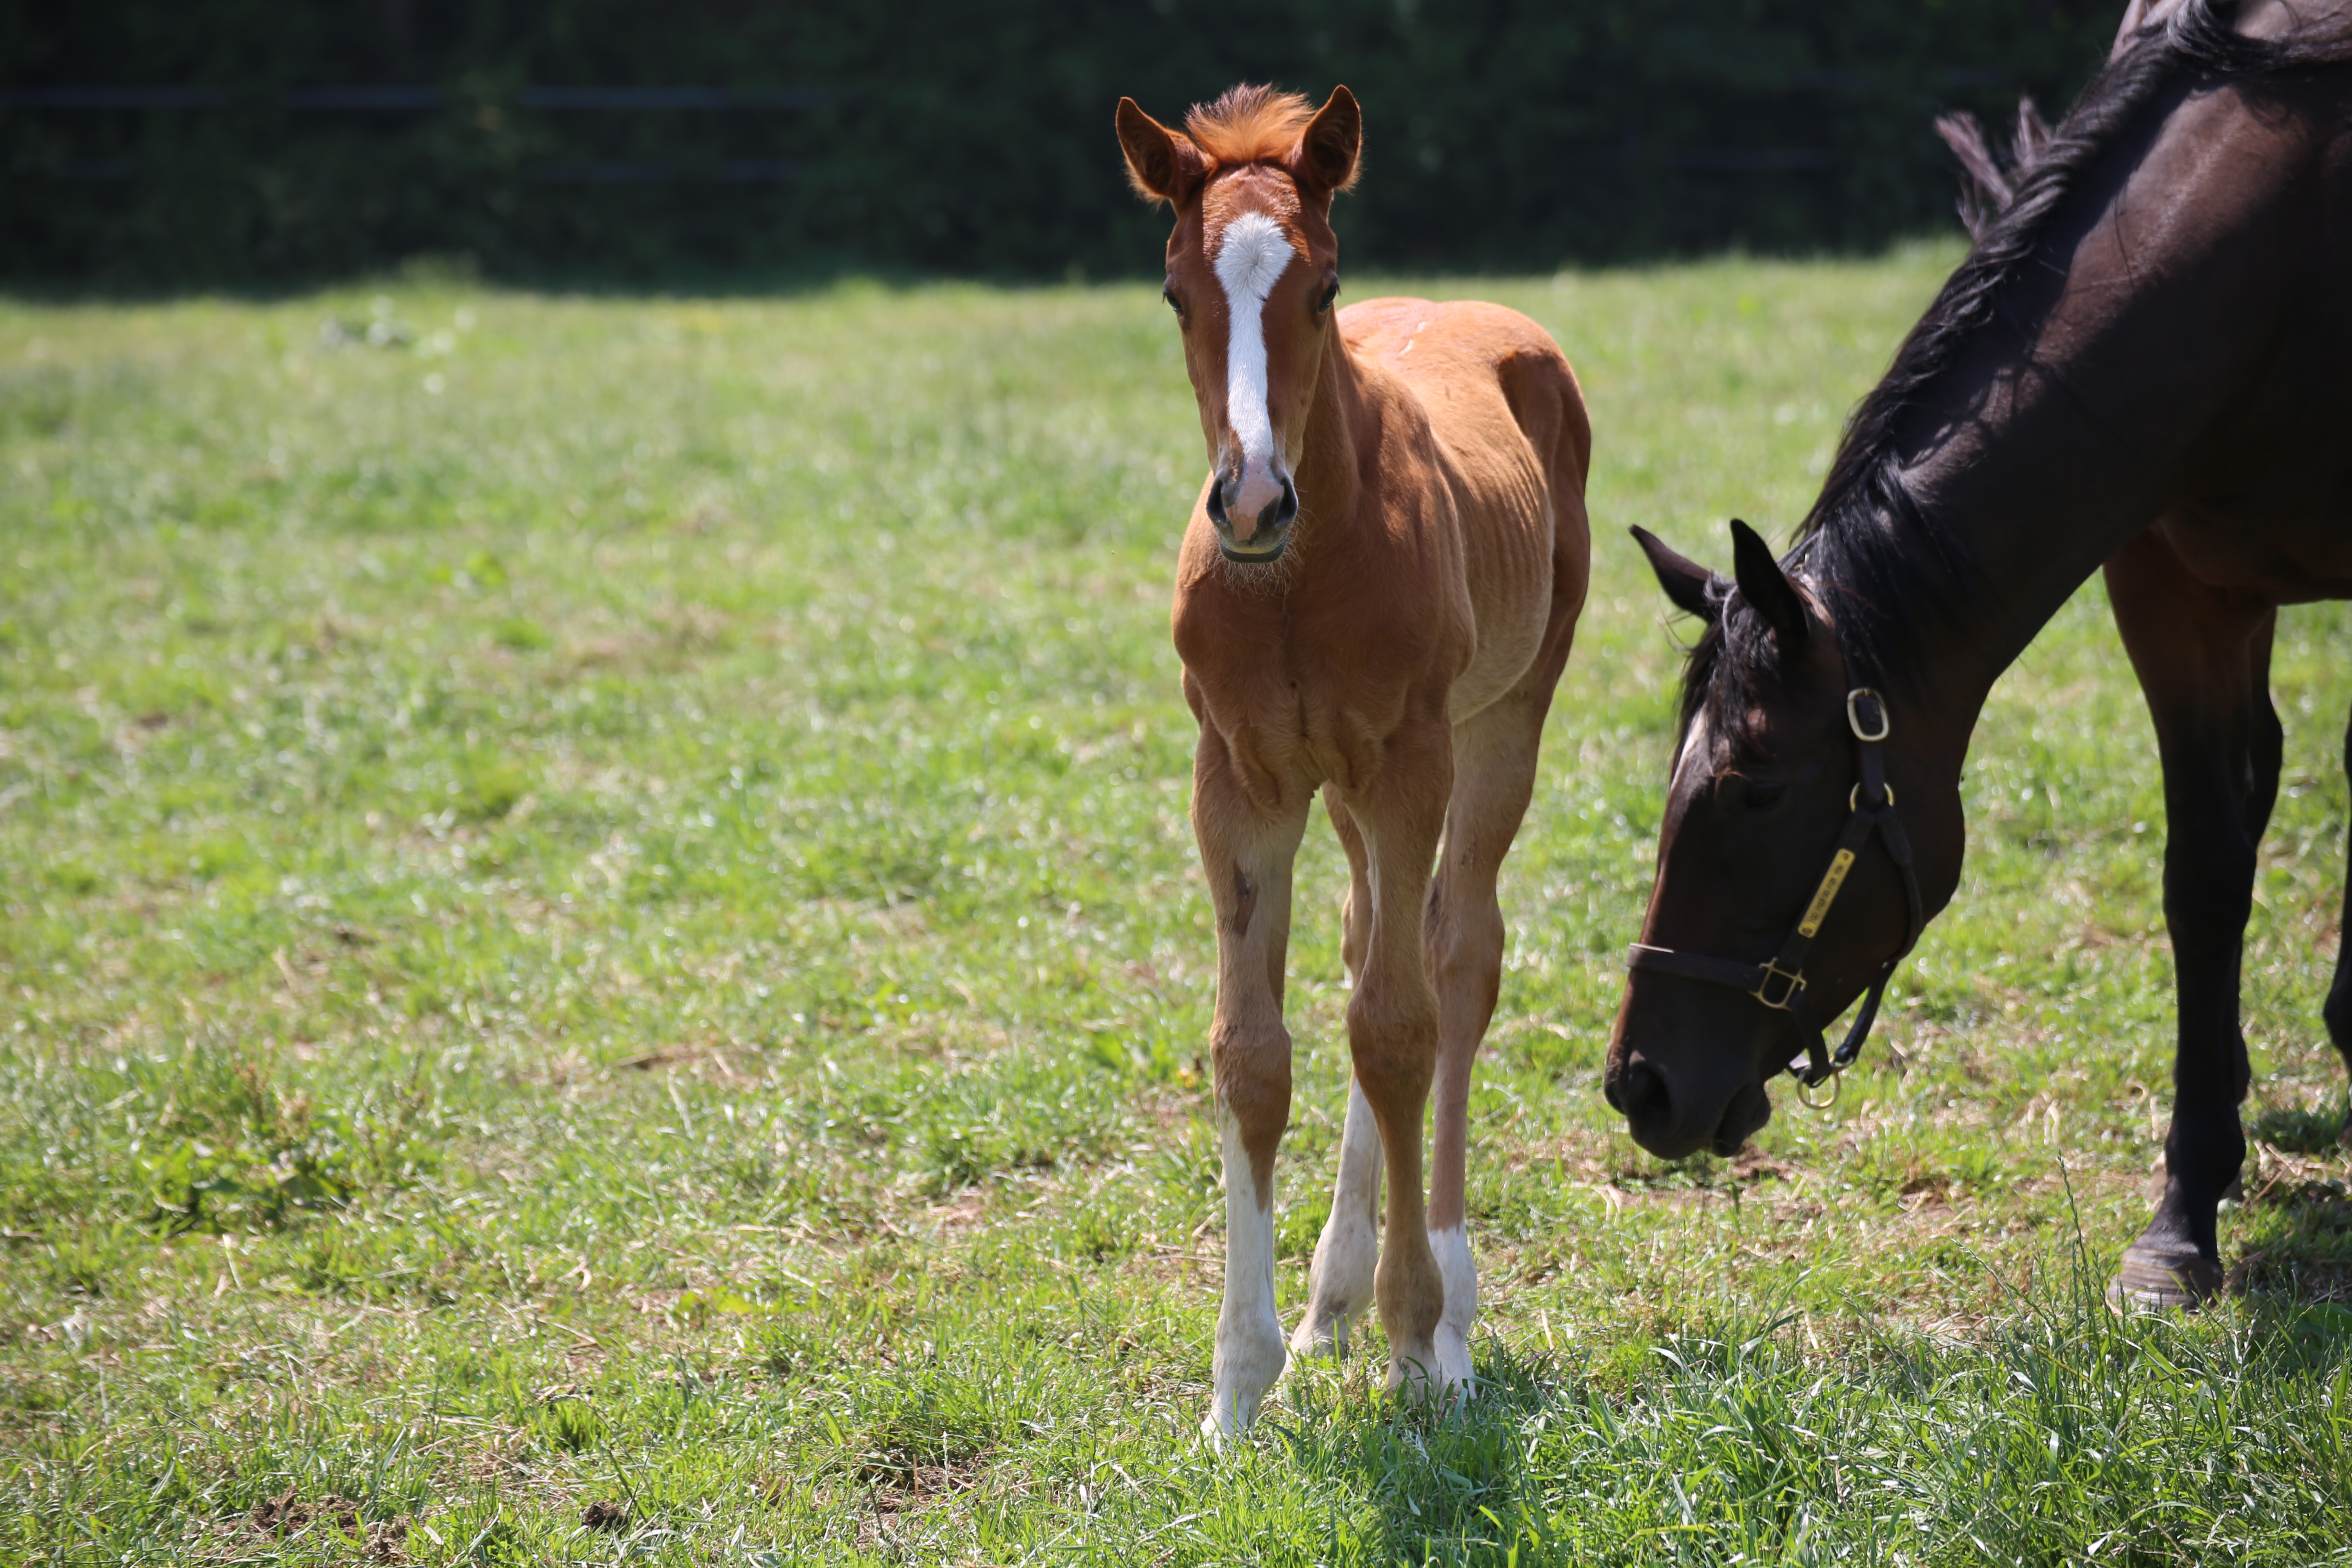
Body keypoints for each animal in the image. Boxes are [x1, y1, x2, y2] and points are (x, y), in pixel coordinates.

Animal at [1110, 82, 1590, 1439]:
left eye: (1321, 287)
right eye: (1175, 292)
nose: (1249, 501)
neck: (1296, 577)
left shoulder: (1407, 764)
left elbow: (1399, 1028)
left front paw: (1416, 1336)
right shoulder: (1242, 782)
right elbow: (1255, 1052)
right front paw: (1239, 1385)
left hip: (1501, 721)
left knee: (1457, 962)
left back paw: (1451, 1309)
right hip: (1350, 795)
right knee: (1376, 946)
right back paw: (1332, 1300)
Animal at [1608, 0, 2352, 1307]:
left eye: (1753, 792)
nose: (1637, 1083)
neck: (2274, 261)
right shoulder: (2169, 585)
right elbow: (2205, 874)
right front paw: (2183, 1211)